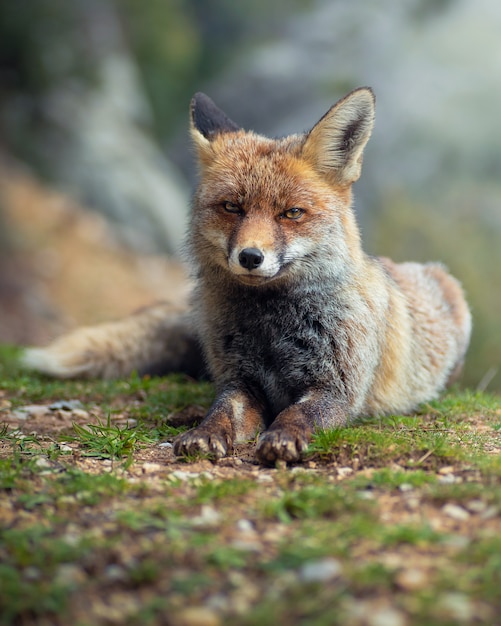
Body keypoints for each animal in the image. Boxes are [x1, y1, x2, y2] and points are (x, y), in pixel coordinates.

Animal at [21, 90, 470, 466]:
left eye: (292, 213)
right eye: (232, 207)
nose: (251, 257)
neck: (271, 326)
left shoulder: (337, 388)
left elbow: (299, 413)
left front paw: (283, 438)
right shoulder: (240, 380)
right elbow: (221, 411)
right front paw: (203, 433)